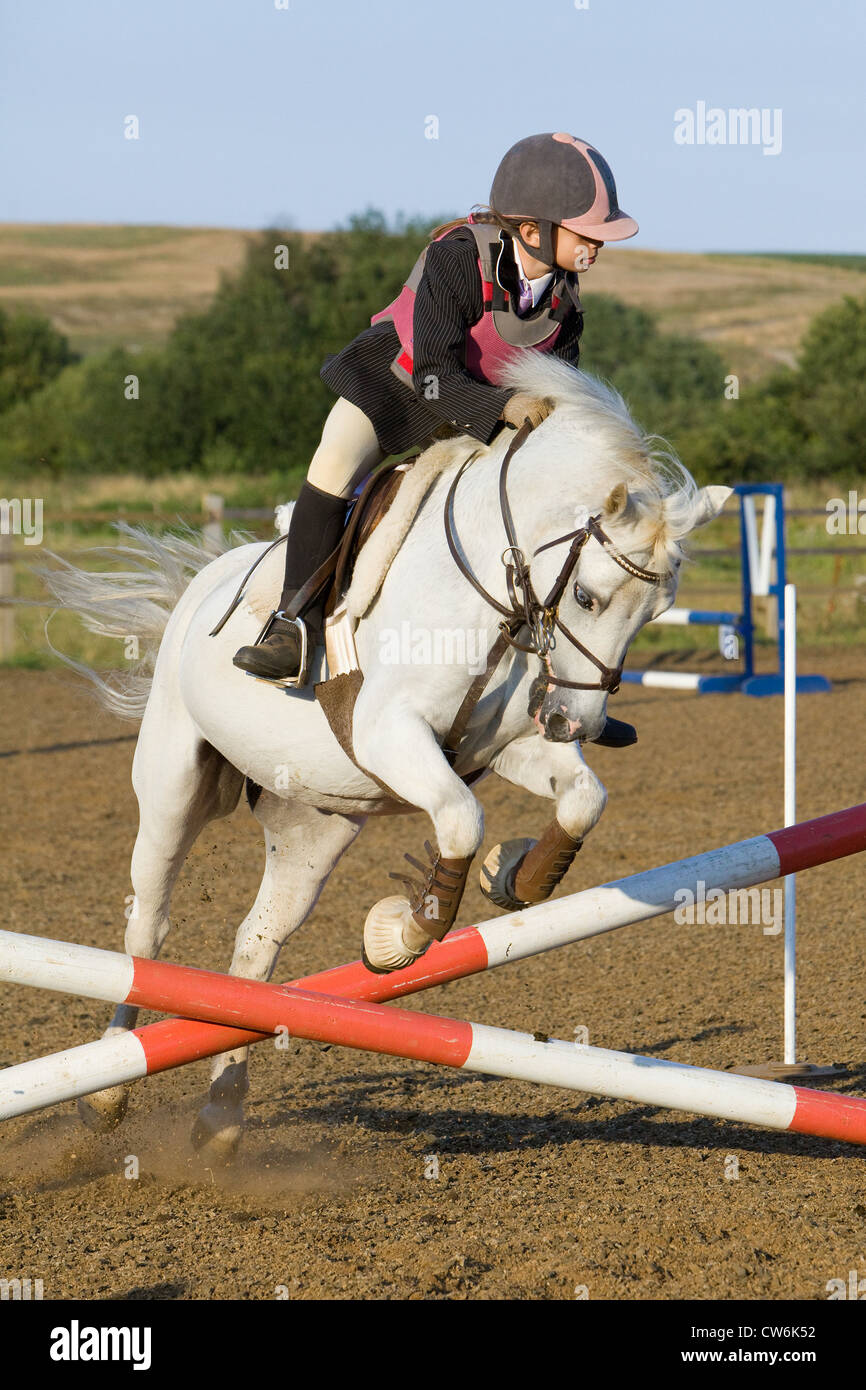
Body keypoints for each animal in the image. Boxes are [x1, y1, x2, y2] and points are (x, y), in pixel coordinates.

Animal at [45, 353, 729, 1161]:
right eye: (588, 598)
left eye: (657, 612)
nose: (574, 721)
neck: (495, 594)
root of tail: (204, 580)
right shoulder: (391, 735)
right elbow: (460, 820)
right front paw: (396, 937)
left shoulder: (498, 747)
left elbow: (580, 801)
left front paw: (514, 874)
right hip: (175, 793)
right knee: (145, 933)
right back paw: (108, 1094)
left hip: (313, 826)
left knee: (256, 948)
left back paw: (220, 1116)